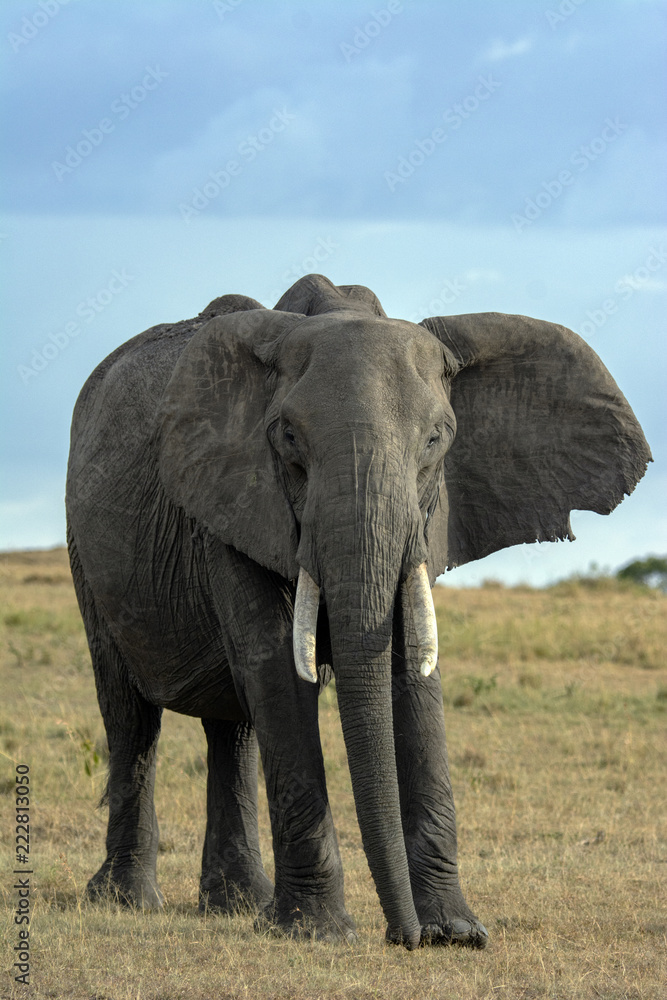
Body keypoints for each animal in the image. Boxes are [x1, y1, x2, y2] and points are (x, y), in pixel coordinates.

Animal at [66, 273, 650, 950]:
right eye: (289, 438)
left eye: (437, 439)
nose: (404, 937)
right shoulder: (232, 496)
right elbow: (276, 666)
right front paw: (319, 933)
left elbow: (411, 665)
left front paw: (457, 933)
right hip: (85, 553)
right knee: (131, 715)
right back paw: (127, 900)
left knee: (231, 729)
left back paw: (237, 904)